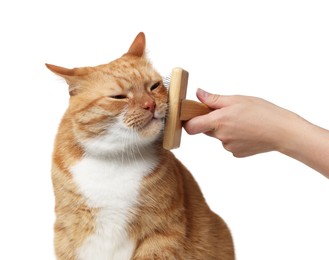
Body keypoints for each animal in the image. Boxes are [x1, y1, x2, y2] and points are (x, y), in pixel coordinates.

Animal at [47, 32, 234, 260]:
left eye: (153, 86)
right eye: (118, 97)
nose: (150, 104)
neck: (115, 158)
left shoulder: (163, 232)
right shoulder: (68, 232)